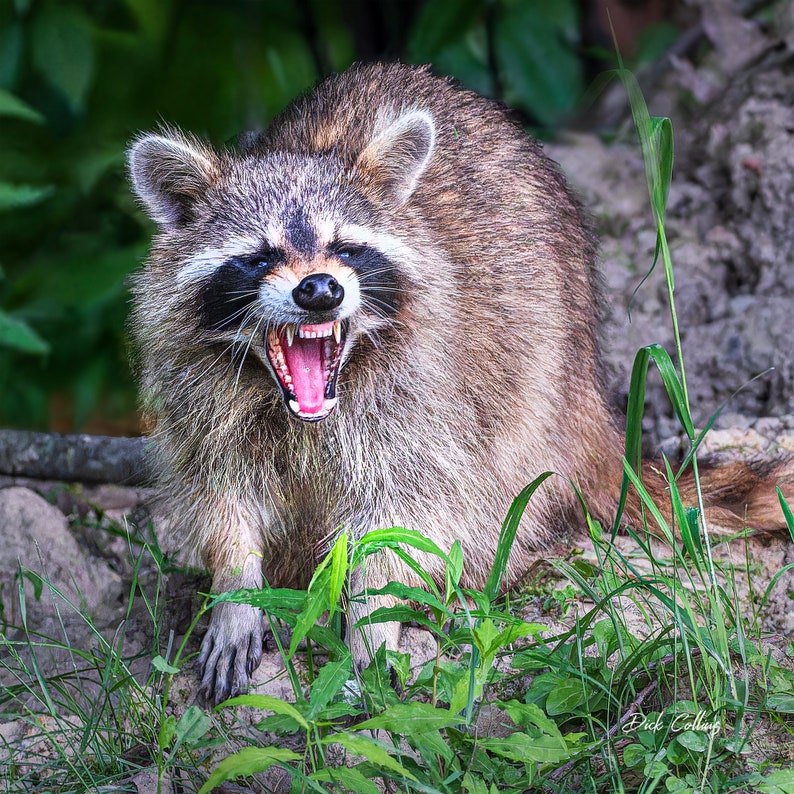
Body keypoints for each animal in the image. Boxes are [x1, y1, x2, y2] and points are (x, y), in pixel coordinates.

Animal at [127, 62, 783, 704]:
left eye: (346, 248)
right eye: (260, 256)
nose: (319, 289)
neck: (297, 408)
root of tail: (592, 411)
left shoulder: (422, 398)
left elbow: (403, 512)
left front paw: (373, 618)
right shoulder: (199, 398)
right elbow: (220, 495)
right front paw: (235, 589)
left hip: (540, 385)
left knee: (494, 484)